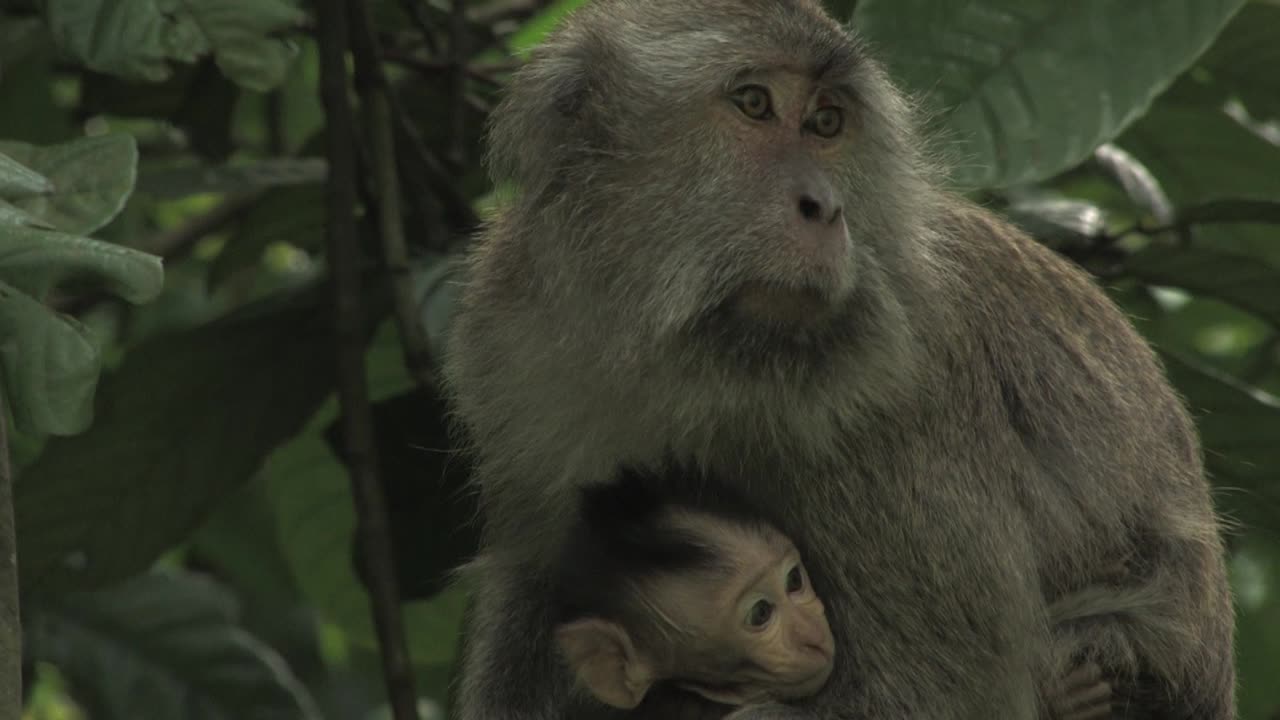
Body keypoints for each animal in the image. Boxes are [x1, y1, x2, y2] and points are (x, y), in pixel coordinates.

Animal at [442, 1, 1236, 718]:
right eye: (754, 103)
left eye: (827, 124)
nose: (824, 207)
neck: (683, 351)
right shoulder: (508, 340)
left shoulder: (897, 408)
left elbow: (947, 688)